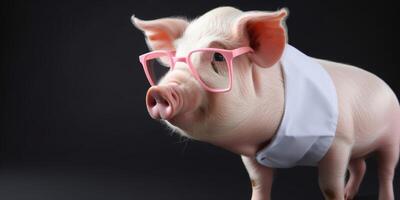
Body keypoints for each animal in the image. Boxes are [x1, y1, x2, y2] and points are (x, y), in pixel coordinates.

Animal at [130, 6, 396, 200]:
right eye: (175, 59)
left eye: (217, 57)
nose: (160, 91)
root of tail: (387, 87)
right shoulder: (254, 154)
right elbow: (258, 182)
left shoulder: (339, 142)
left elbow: (330, 187)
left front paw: (338, 195)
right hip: (359, 146)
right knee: (360, 165)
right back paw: (350, 194)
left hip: (392, 137)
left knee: (385, 170)